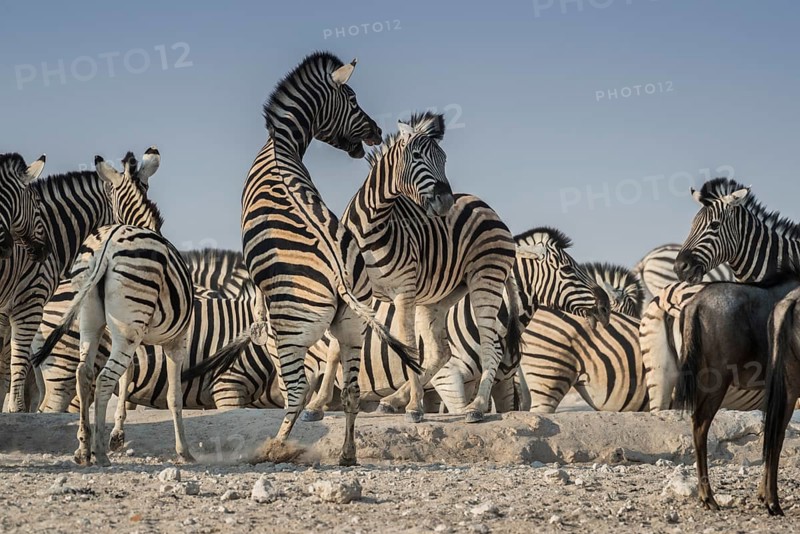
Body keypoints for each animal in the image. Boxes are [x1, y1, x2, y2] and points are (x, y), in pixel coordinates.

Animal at [32, 150, 196, 466]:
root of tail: (107, 245)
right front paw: (184, 451)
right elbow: (174, 396)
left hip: (93, 320)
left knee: (85, 374)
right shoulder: (175, 340)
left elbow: (128, 376)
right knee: (104, 377)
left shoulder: (134, 335)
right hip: (126, 327)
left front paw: (117, 435)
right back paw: (99, 452)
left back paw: (84, 448)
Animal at [200, 51, 419, 467]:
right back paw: (347, 454)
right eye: (352, 99)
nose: (376, 131)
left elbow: (256, 301)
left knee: (297, 391)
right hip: (352, 327)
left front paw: (257, 321)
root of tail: (339, 276)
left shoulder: (254, 269)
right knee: (350, 391)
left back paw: (275, 448)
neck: (281, 146)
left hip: (292, 332)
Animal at [304, 112, 520, 424]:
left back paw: (476, 407)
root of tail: (485, 205)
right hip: (439, 298)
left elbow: (407, 343)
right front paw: (316, 405)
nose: (446, 202)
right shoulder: (350, 292)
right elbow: (334, 349)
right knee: (440, 353)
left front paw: (416, 407)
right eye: (417, 156)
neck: (372, 224)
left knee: (491, 347)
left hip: (486, 279)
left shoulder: (403, 292)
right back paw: (393, 399)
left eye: (444, 159)